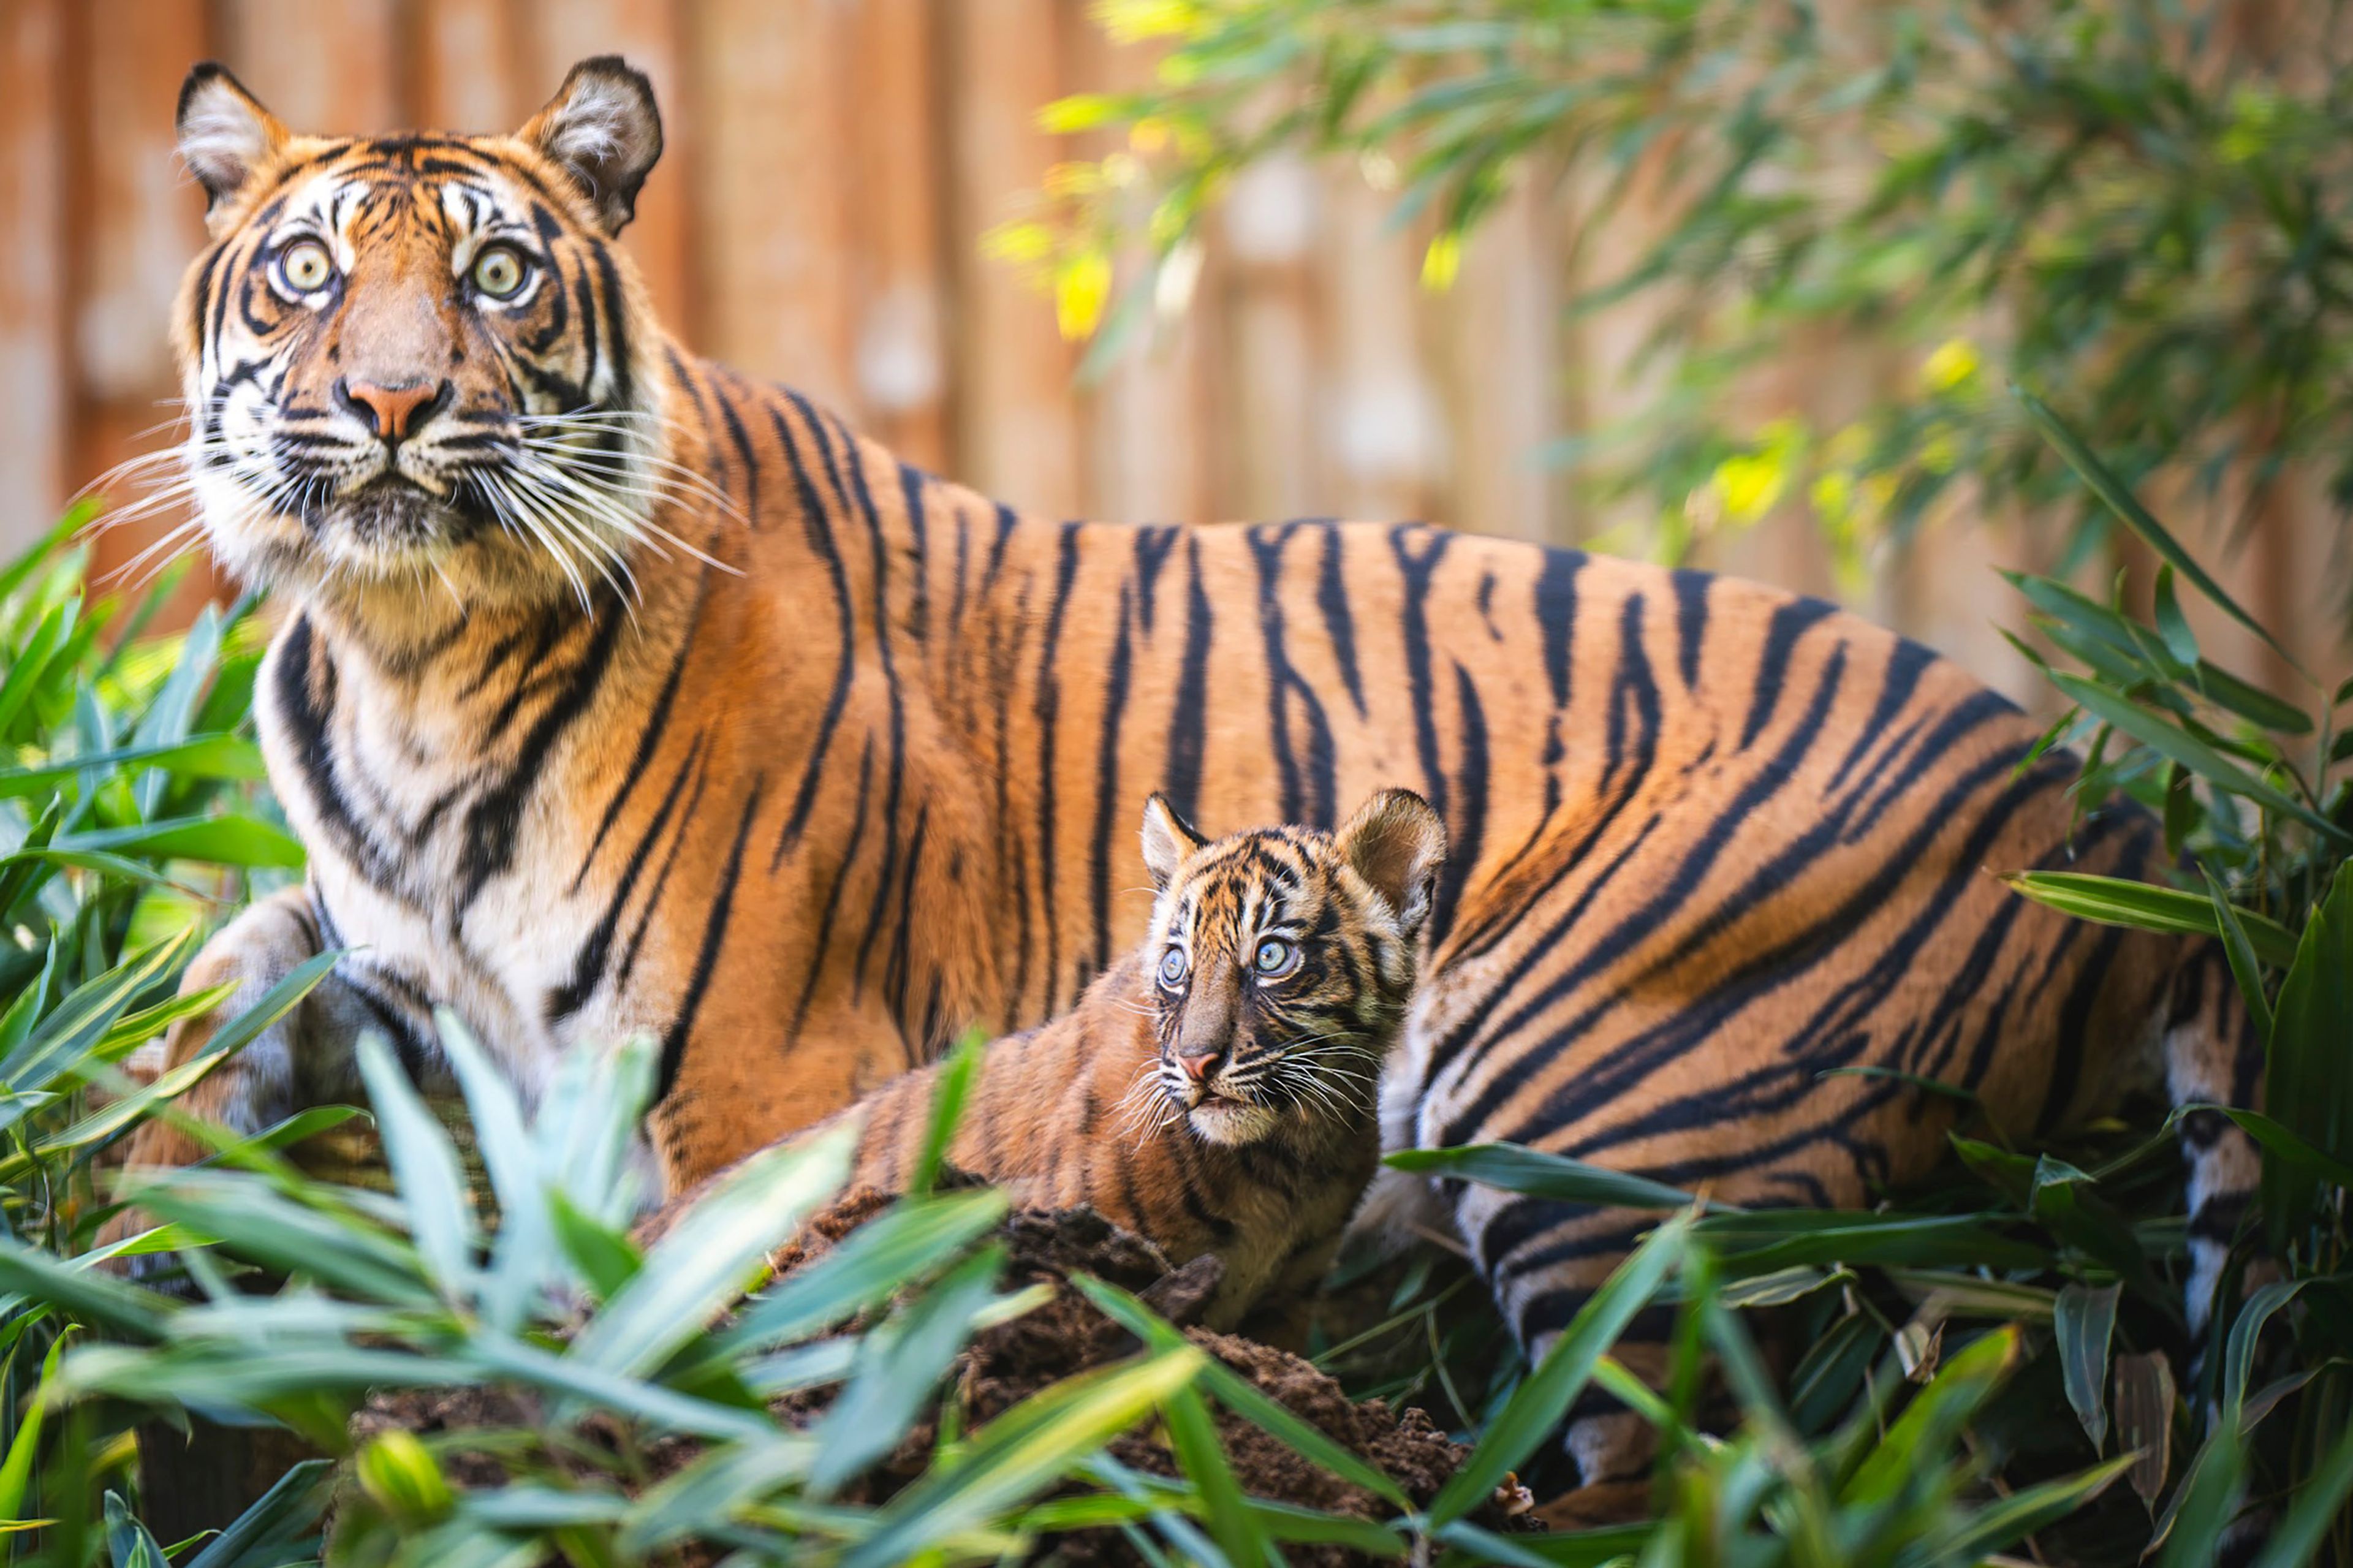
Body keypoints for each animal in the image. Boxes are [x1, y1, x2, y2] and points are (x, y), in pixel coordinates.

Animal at [124, 58, 2259, 1478]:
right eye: (306, 271)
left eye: (495, 279)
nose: (391, 402)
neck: (413, 654)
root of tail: (2100, 806)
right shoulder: (392, 953)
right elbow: (208, 993)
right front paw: (135, 1240)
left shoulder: (758, 1069)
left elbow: (730, 1288)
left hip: (1588, 1099)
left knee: (1714, 1456)